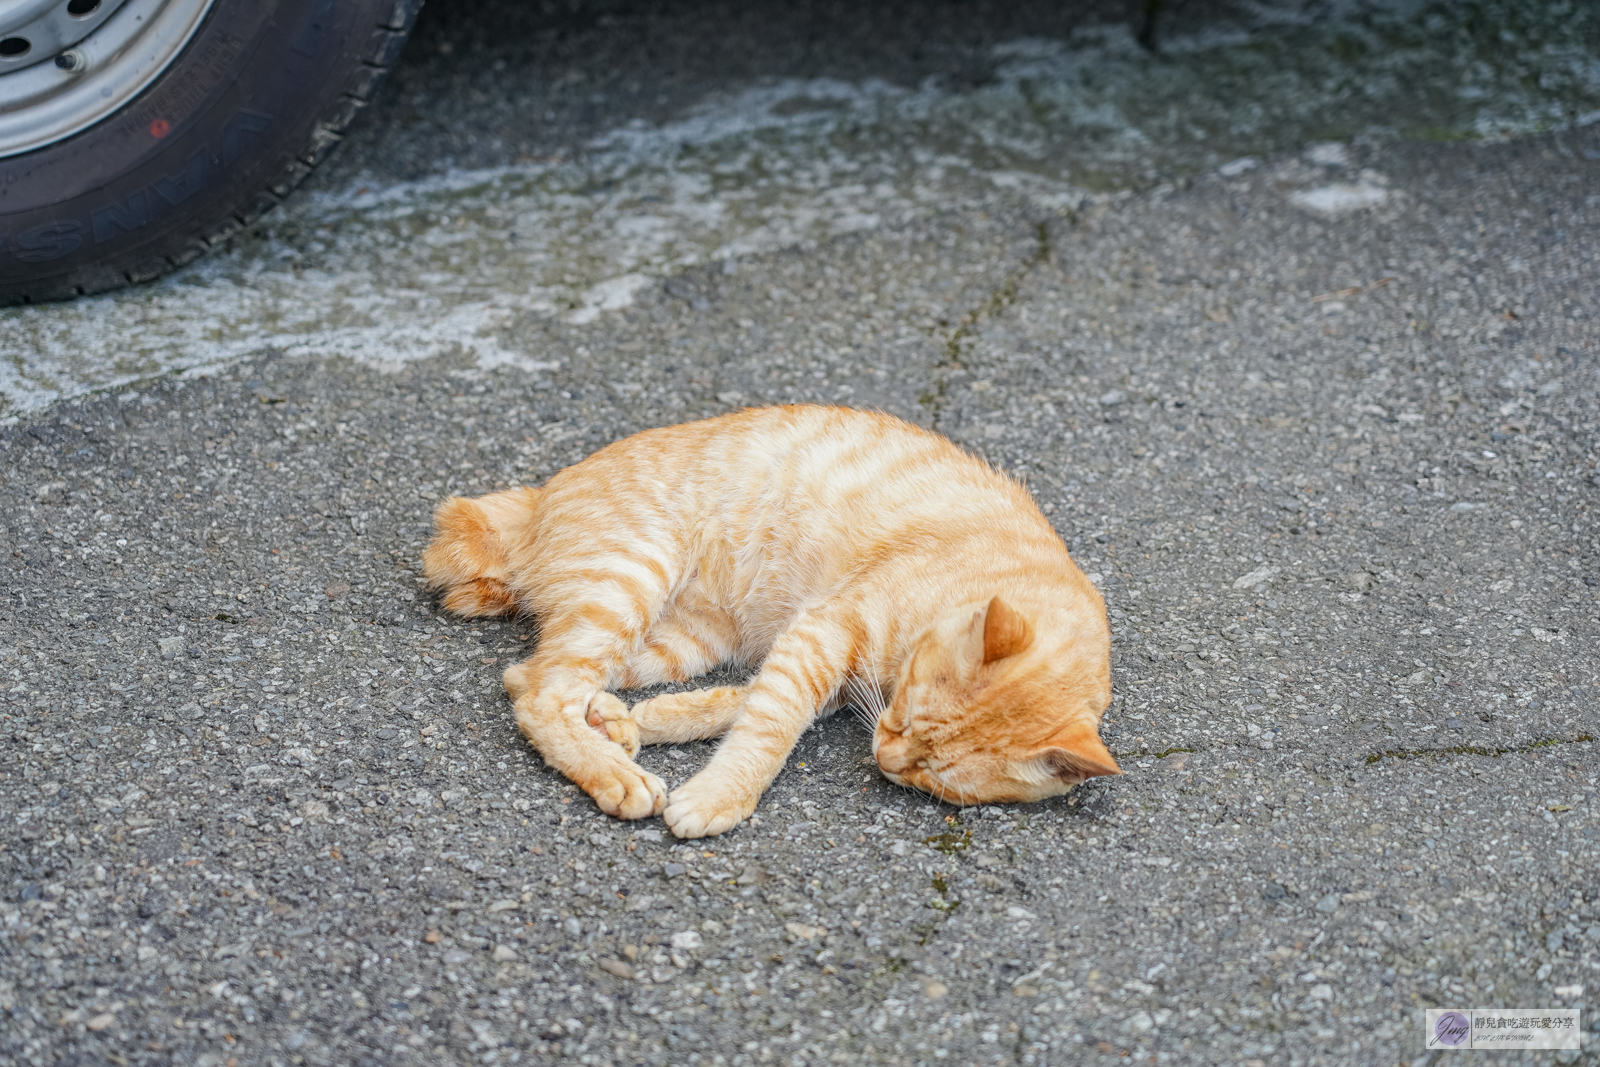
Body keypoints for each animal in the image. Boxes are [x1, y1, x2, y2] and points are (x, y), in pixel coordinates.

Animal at [425, 404, 1126, 838]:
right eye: (906, 719)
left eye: (934, 775)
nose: (886, 759)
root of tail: (541, 492)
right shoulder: (824, 634)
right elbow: (770, 726)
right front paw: (720, 797)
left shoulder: (821, 662)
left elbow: (742, 702)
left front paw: (653, 721)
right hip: (628, 582)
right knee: (543, 692)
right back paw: (615, 773)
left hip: (678, 642)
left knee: (530, 674)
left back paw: (610, 724)